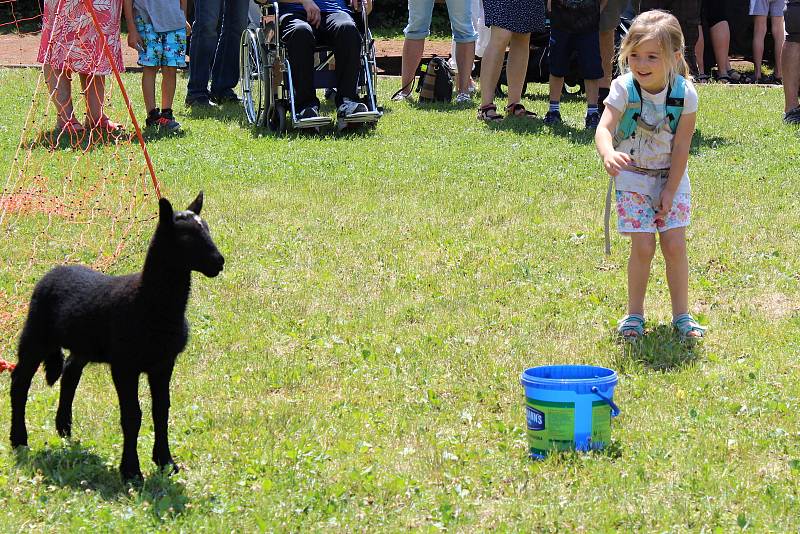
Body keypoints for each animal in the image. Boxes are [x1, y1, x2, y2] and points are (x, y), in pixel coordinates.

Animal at [10, 192, 225, 482]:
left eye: (207, 230)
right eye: (186, 237)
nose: (219, 262)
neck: (148, 301)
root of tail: (53, 271)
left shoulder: (163, 363)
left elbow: (161, 411)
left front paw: (165, 461)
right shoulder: (125, 365)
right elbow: (132, 415)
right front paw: (131, 471)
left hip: (83, 344)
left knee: (69, 372)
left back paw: (64, 428)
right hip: (35, 335)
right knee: (20, 382)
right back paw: (19, 439)